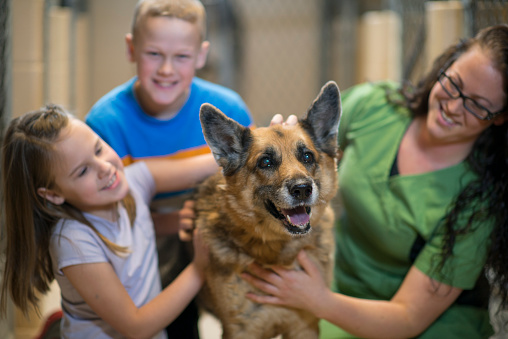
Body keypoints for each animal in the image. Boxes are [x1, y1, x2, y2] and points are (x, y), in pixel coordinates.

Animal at [194, 81, 342, 338]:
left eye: (307, 156)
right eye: (266, 162)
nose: (302, 189)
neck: (278, 250)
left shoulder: (305, 325)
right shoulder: (240, 331)